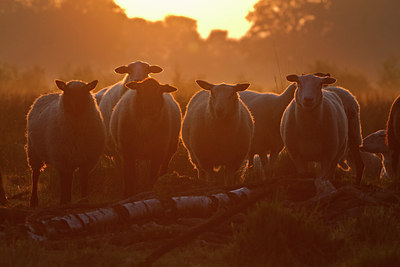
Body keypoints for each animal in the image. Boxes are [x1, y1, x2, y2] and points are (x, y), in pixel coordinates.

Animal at [25, 79, 105, 207]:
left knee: (70, 177)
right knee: (36, 174)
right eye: (68, 92)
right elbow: (63, 181)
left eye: (85, 92)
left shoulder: (87, 159)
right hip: (33, 151)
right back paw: (34, 201)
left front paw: (84, 201)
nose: (76, 108)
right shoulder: (61, 158)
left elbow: (83, 180)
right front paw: (63, 201)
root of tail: (47, 94)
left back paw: (69, 199)